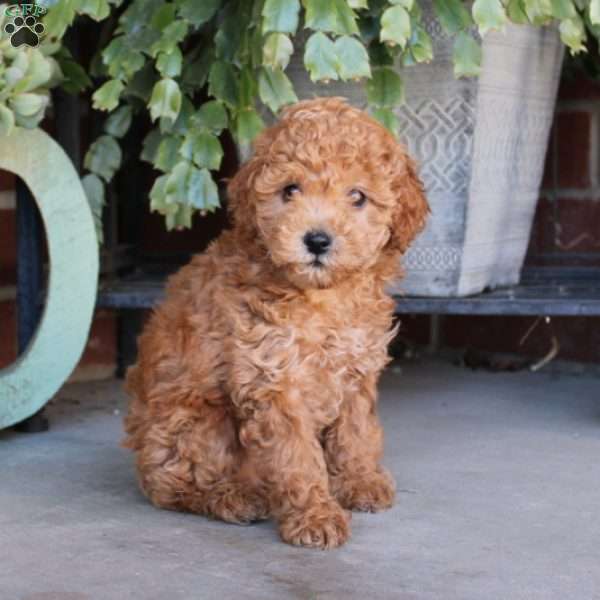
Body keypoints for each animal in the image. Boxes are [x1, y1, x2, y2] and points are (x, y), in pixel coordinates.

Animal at [124, 97, 428, 548]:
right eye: (290, 190)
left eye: (357, 196)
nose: (317, 240)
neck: (323, 296)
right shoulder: (273, 377)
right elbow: (297, 457)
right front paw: (316, 517)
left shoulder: (357, 367)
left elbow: (356, 430)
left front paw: (360, 481)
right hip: (197, 421)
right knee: (175, 486)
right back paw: (233, 497)